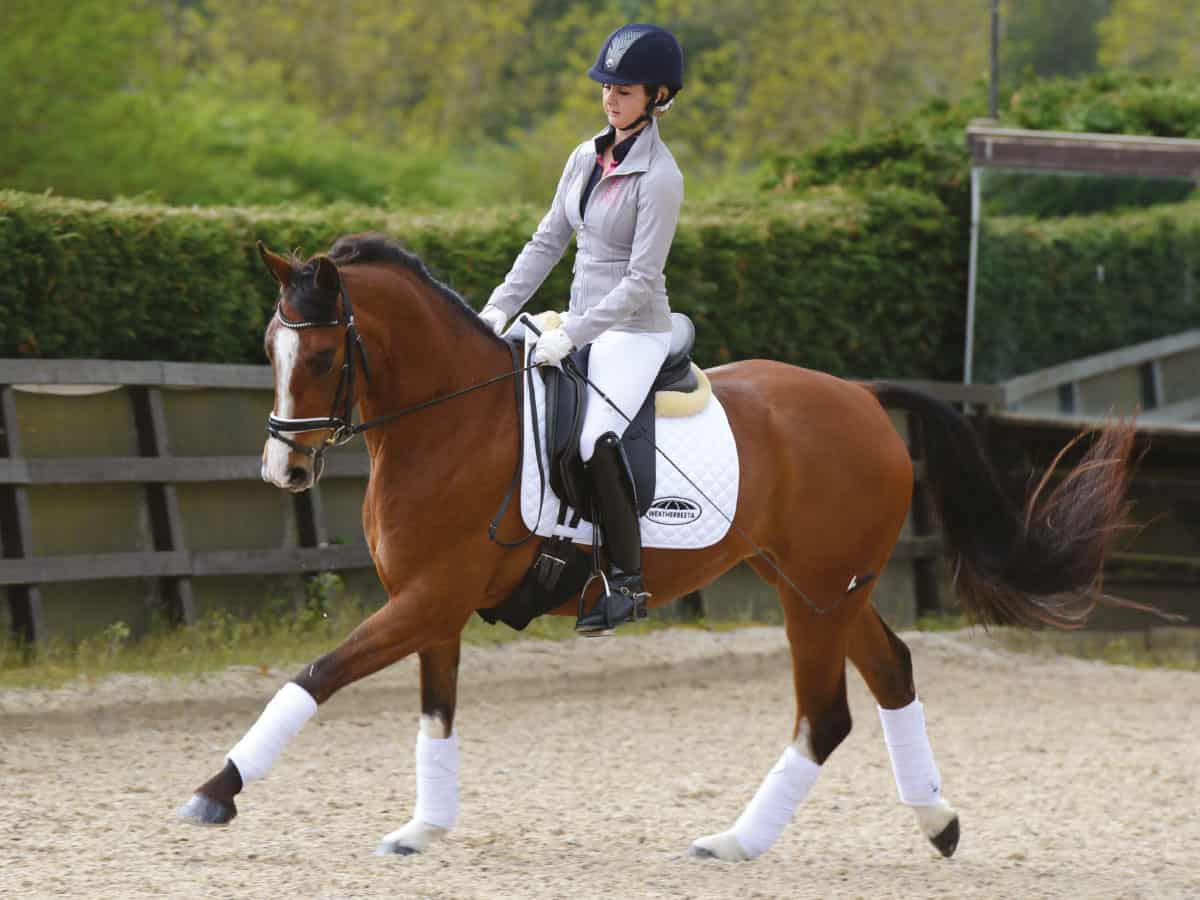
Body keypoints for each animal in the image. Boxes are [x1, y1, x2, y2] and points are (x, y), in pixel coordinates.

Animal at [178, 232, 1136, 861]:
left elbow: (315, 675)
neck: (452, 421)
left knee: (825, 714)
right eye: (269, 346)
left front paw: (215, 792)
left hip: (817, 593)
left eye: (323, 354)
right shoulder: (432, 607)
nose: (283, 469)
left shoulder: (428, 599)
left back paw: (737, 842)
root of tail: (862, 397)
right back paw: (936, 824)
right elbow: (434, 714)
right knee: (891, 672)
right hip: (821, 586)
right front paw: (424, 827)